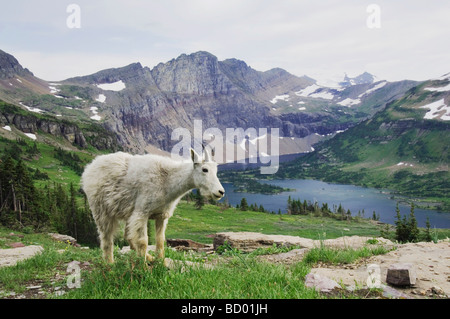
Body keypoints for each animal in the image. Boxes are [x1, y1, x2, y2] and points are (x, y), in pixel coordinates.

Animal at [81, 150, 225, 264]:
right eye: (204, 169)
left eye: (216, 170)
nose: (220, 192)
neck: (167, 181)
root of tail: (89, 168)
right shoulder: (142, 213)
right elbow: (143, 241)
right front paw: (143, 268)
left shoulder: (161, 215)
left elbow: (160, 240)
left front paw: (160, 261)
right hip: (101, 210)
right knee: (106, 239)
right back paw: (110, 264)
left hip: (127, 213)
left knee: (127, 236)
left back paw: (149, 257)